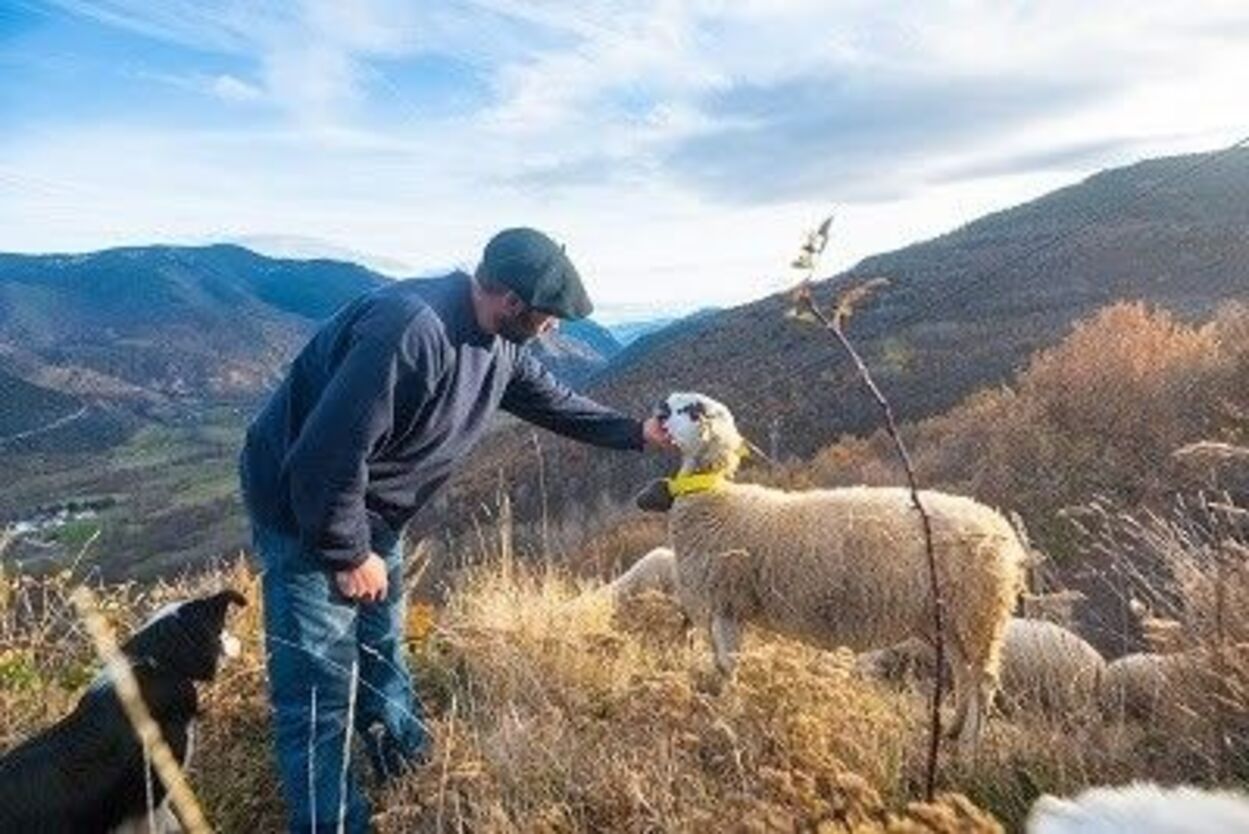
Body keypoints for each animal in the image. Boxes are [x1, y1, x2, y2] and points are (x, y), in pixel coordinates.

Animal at [654, 392, 1024, 749]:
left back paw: (970, 748)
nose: (659, 408)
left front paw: (725, 713)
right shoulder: (725, 606)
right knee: (963, 671)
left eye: (692, 409)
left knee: (983, 680)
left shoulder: (727, 603)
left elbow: (728, 666)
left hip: (978, 613)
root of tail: (1001, 528)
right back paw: (954, 730)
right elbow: (723, 664)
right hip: (949, 618)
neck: (715, 501)